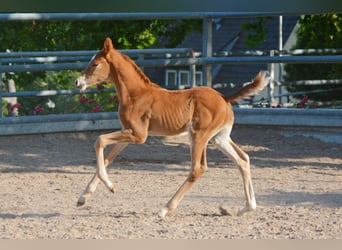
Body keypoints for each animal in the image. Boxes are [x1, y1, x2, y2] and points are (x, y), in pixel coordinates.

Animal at [74, 37, 268, 217]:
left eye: (95, 64)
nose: (77, 82)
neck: (136, 94)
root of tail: (224, 98)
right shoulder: (128, 133)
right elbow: (108, 158)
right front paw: (83, 198)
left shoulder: (139, 135)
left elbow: (99, 140)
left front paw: (110, 186)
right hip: (219, 138)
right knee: (243, 160)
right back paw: (246, 208)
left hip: (198, 135)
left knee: (198, 168)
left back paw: (165, 208)